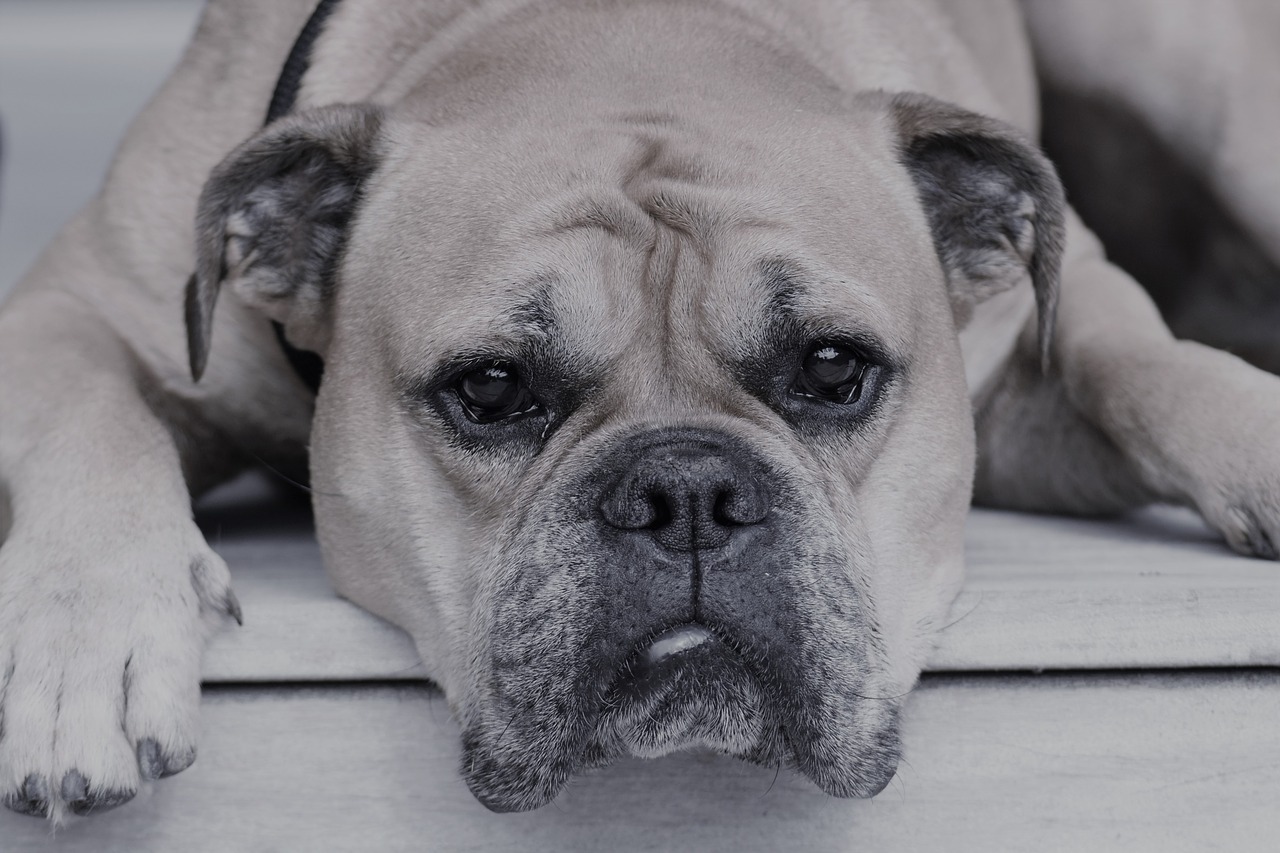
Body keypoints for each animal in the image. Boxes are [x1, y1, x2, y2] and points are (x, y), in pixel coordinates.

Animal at [0, 0, 1274, 824]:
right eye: (491, 388)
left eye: (833, 368)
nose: (687, 492)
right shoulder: (69, 308)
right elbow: (90, 419)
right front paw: (91, 637)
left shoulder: (1051, 334)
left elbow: (1142, 360)